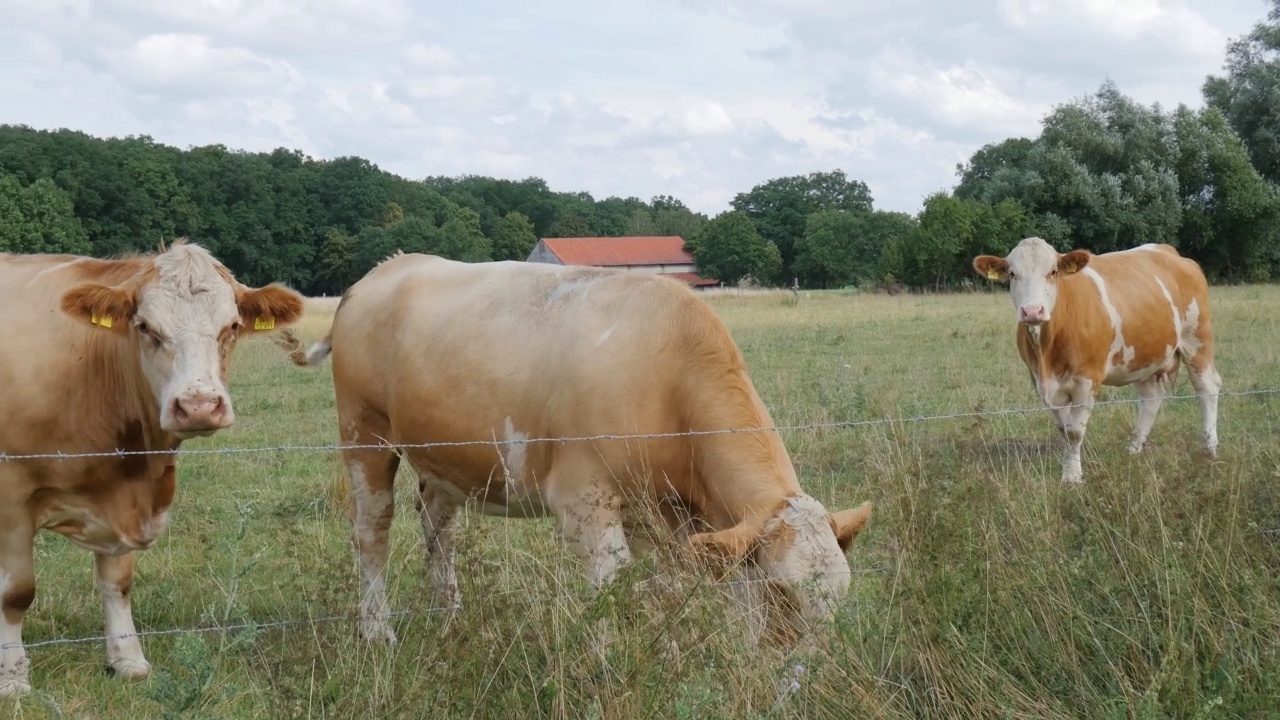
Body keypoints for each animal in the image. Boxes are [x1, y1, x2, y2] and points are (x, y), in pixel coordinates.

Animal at [0, 239, 304, 691]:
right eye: (145, 327)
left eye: (232, 326)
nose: (199, 405)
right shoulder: (12, 496)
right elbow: (16, 592)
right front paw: (13, 680)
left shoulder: (124, 494)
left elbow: (118, 583)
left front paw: (128, 660)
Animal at [285, 251, 875, 645]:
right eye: (782, 592)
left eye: (841, 600)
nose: (799, 677)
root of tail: (385, 269)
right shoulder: (584, 506)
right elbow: (610, 593)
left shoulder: (665, 517)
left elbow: (667, 590)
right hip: (365, 433)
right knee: (372, 532)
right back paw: (378, 633)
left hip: (442, 456)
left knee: (437, 528)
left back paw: (452, 616)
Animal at [972, 237, 1223, 481]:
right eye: (1012, 273)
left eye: (1053, 271)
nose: (1033, 311)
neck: (1048, 351)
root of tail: (1170, 252)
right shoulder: (1042, 383)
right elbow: (1064, 428)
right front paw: (1070, 469)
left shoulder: (1087, 380)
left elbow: (1074, 431)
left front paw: (1072, 477)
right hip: (1143, 355)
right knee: (1151, 398)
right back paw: (1135, 448)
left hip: (1197, 339)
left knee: (1207, 387)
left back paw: (1210, 447)